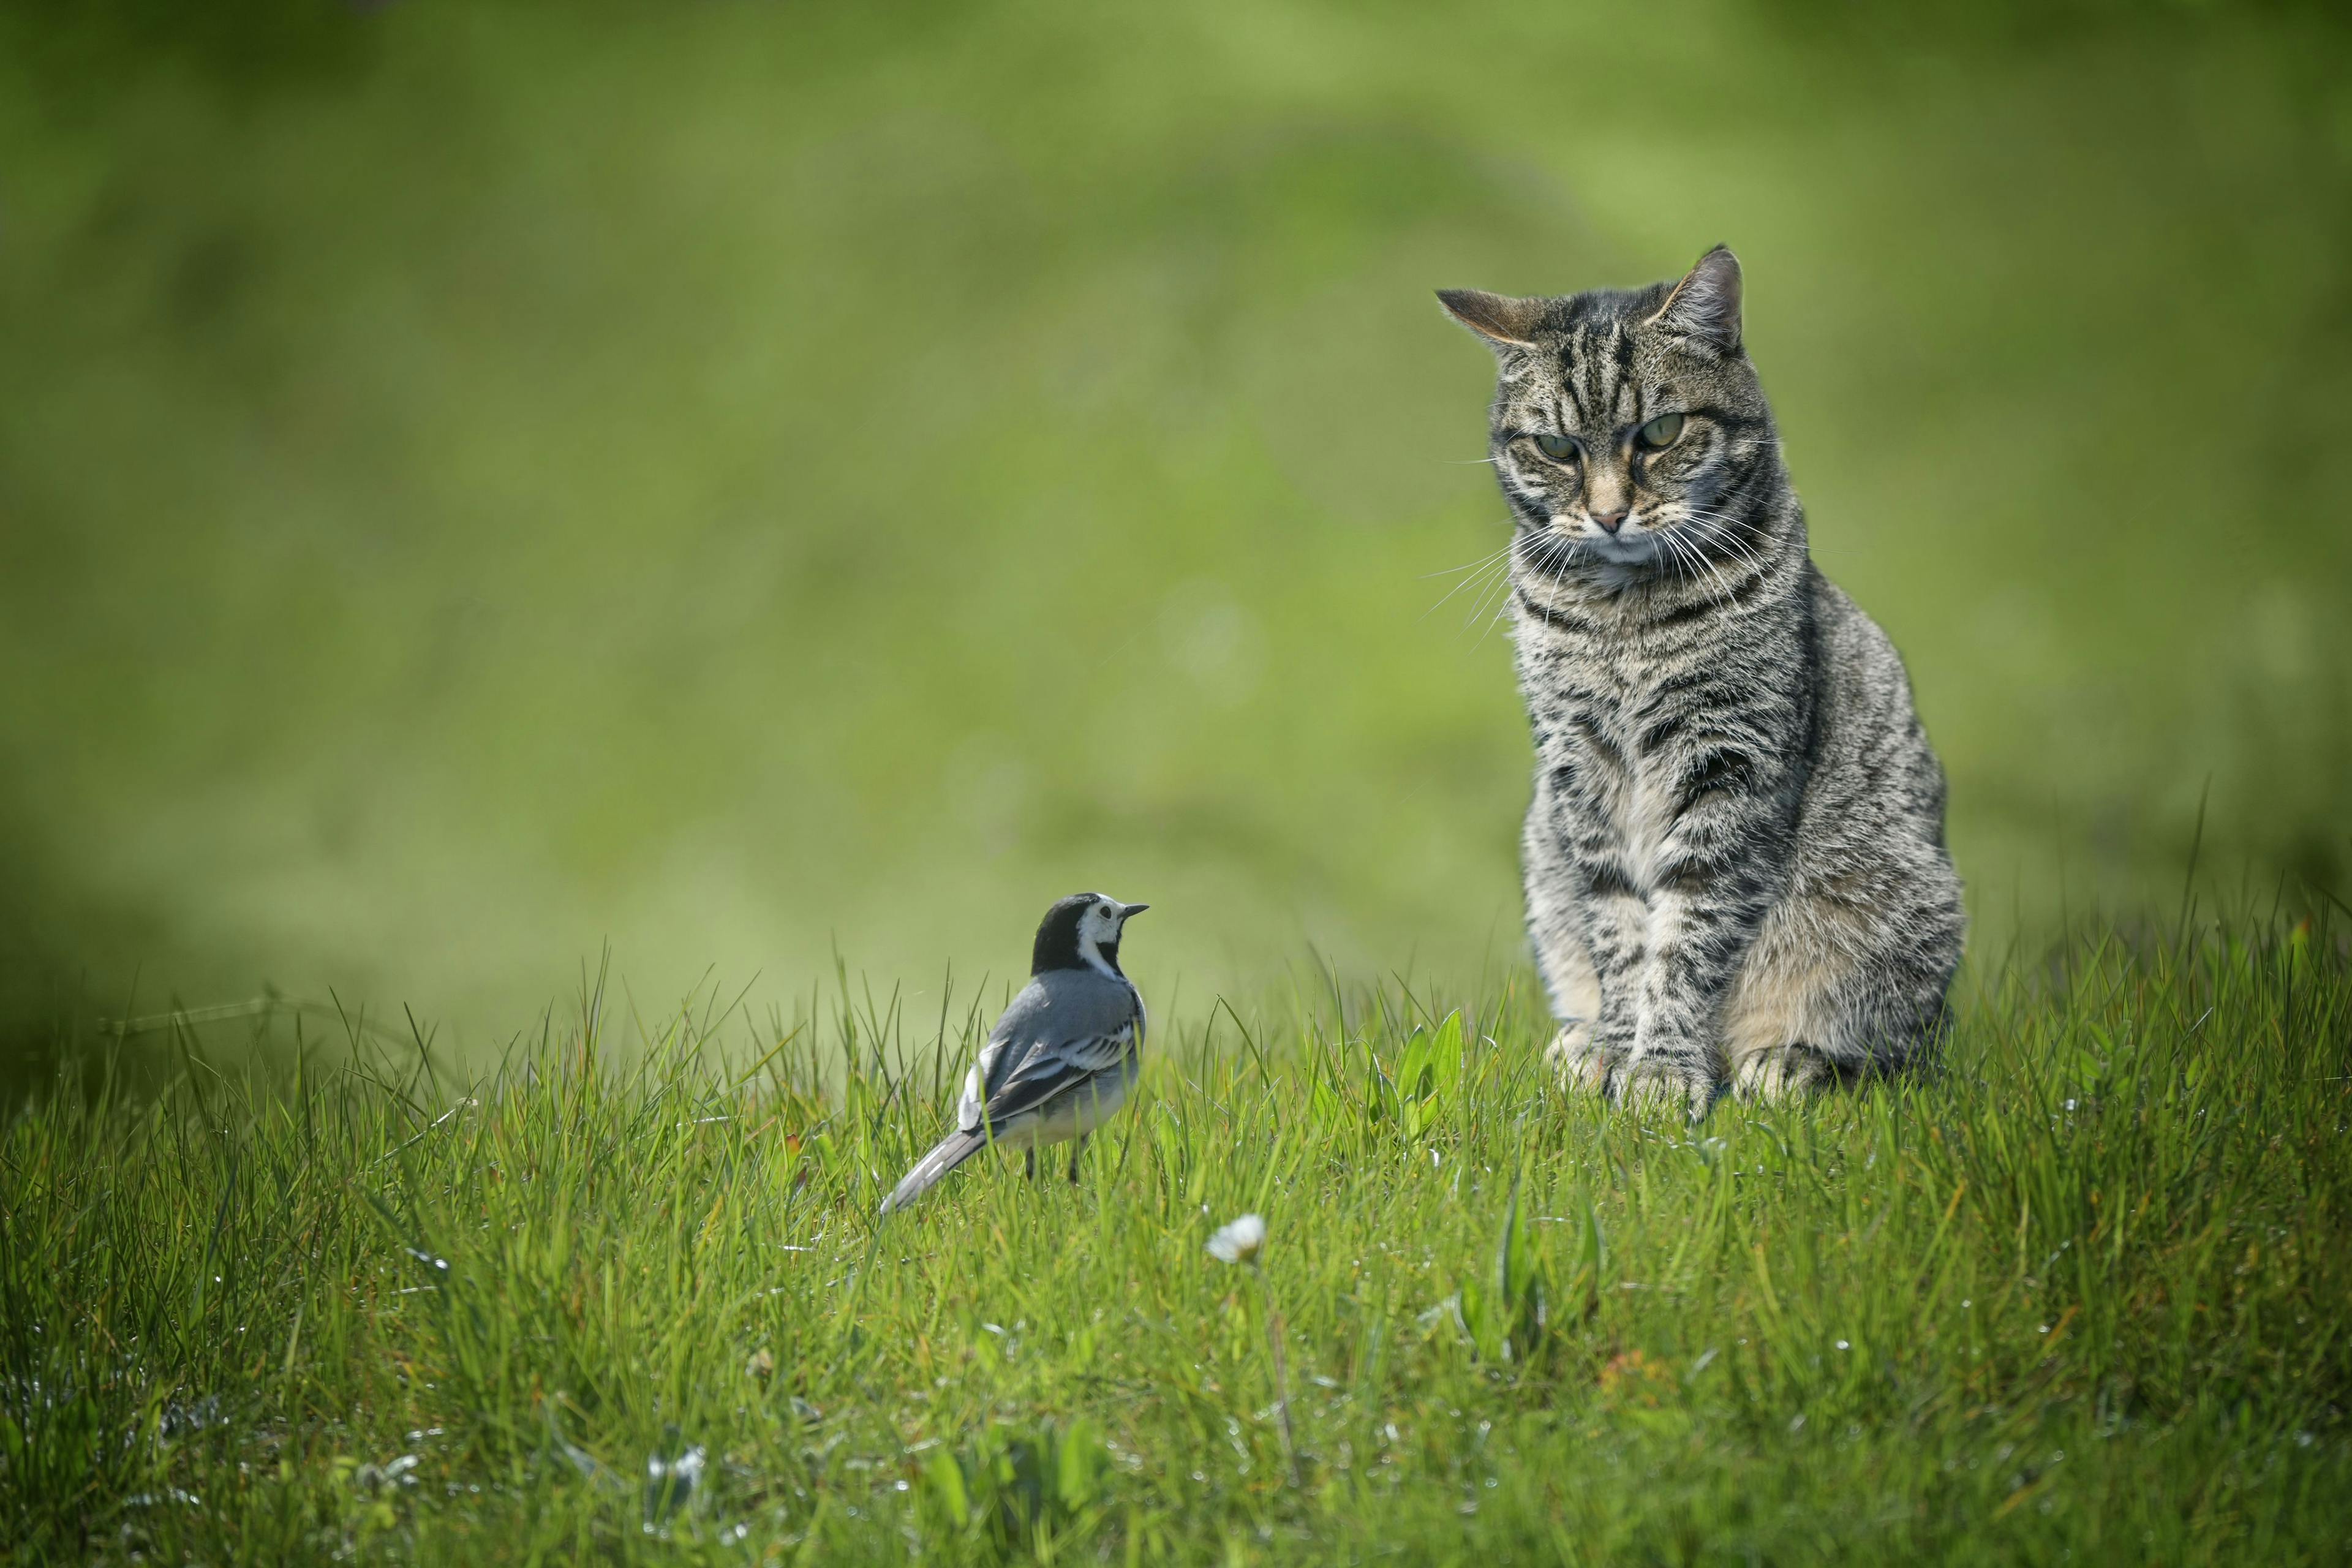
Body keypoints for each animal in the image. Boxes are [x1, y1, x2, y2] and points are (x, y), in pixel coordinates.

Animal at [1430, 246, 1966, 1114]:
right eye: (1556, 448)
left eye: (1661, 432)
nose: (1609, 512)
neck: (1623, 615)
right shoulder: (1579, 770)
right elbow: (1620, 931)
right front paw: (1615, 1049)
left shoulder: (1731, 760)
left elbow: (1688, 934)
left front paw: (1662, 1068)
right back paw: (1579, 1039)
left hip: (1903, 906)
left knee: (1899, 1052)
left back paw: (1787, 1061)